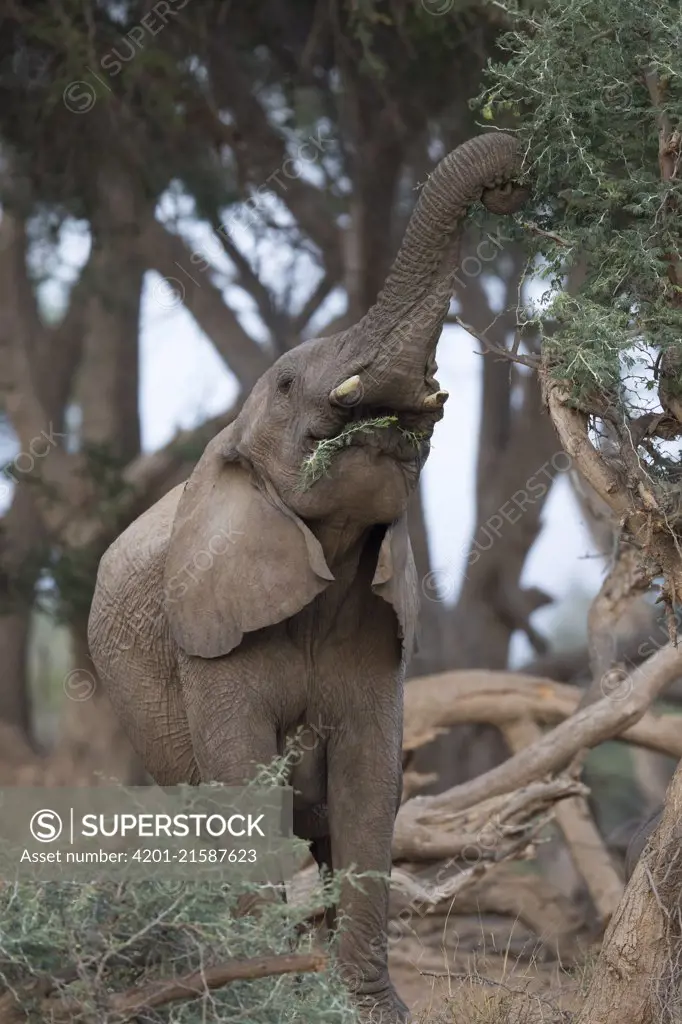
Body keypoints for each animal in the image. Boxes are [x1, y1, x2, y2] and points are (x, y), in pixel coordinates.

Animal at [87, 132, 524, 1019]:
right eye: (289, 383)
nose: (512, 184)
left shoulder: (381, 631)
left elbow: (370, 785)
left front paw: (362, 1007)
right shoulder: (207, 637)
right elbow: (244, 778)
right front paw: (264, 996)